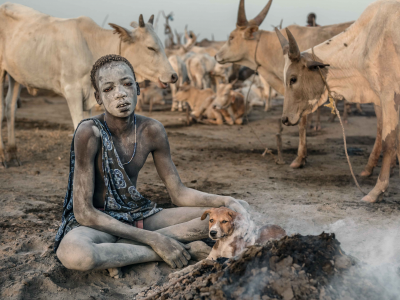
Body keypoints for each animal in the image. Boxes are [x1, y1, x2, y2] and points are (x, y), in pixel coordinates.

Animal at [0, 2, 178, 166]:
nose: (173, 75)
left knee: (10, 107)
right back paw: (4, 155)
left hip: (15, 76)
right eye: (150, 48)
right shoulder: (72, 91)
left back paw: (13, 153)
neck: (91, 47)